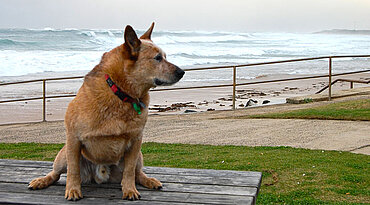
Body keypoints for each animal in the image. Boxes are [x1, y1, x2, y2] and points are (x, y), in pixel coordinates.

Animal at [27, 23, 185, 201]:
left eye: (165, 56)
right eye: (158, 58)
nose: (182, 72)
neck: (121, 94)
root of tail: (99, 175)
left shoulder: (136, 141)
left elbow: (129, 171)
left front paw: (129, 189)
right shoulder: (73, 139)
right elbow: (73, 171)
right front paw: (73, 190)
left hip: (139, 155)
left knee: (137, 173)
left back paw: (149, 180)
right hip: (63, 155)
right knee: (56, 173)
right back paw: (41, 181)